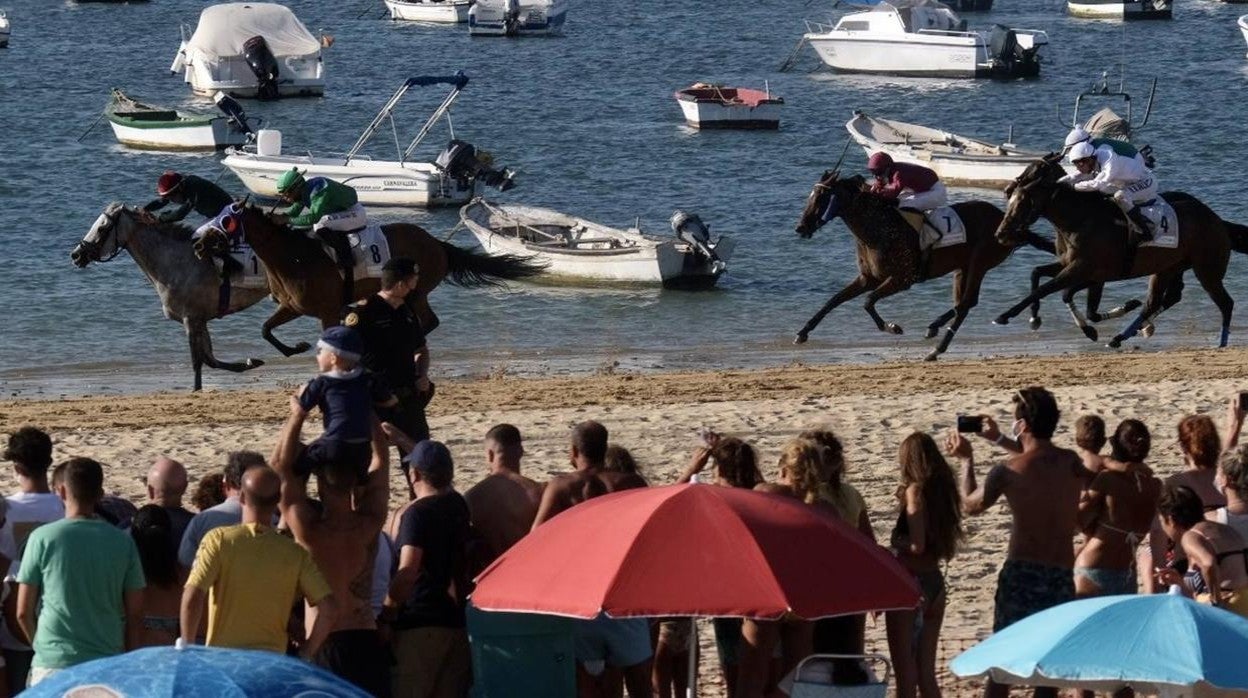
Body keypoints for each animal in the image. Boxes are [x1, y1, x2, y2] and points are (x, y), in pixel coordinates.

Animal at [71, 203, 270, 394]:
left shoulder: (190, 318)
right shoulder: (199, 319)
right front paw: (249, 363)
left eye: (102, 228)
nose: (76, 255)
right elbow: (209, 358)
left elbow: (197, 360)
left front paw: (197, 388)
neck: (178, 263)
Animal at [197, 201, 544, 354]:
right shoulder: (292, 307)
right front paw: (295, 348)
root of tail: (436, 243)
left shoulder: (327, 310)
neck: (292, 257)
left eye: (227, 220)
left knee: (426, 322)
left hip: (415, 292)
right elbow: (265, 330)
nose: (199, 243)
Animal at [788, 171, 1053, 359]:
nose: (800, 227)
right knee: (966, 303)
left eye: (821, 199)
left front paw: (891, 326)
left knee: (964, 305)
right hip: (964, 267)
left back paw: (937, 348)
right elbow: (833, 301)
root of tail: (1006, 223)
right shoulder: (868, 278)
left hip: (980, 262)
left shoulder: (903, 278)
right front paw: (802, 333)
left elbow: (868, 302)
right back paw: (933, 327)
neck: (877, 229)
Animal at [993, 154, 1248, 347]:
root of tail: (1217, 220)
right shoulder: (1076, 268)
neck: (1080, 219)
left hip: (1207, 271)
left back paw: (1221, 343)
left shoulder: (1085, 270)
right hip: (1168, 268)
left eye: (1023, 202)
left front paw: (1005, 315)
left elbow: (1051, 291)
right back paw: (1124, 335)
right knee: (1160, 300)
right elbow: (1038, 275)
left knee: (1225, 303)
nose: (1001, 233)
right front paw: (1035, 317)